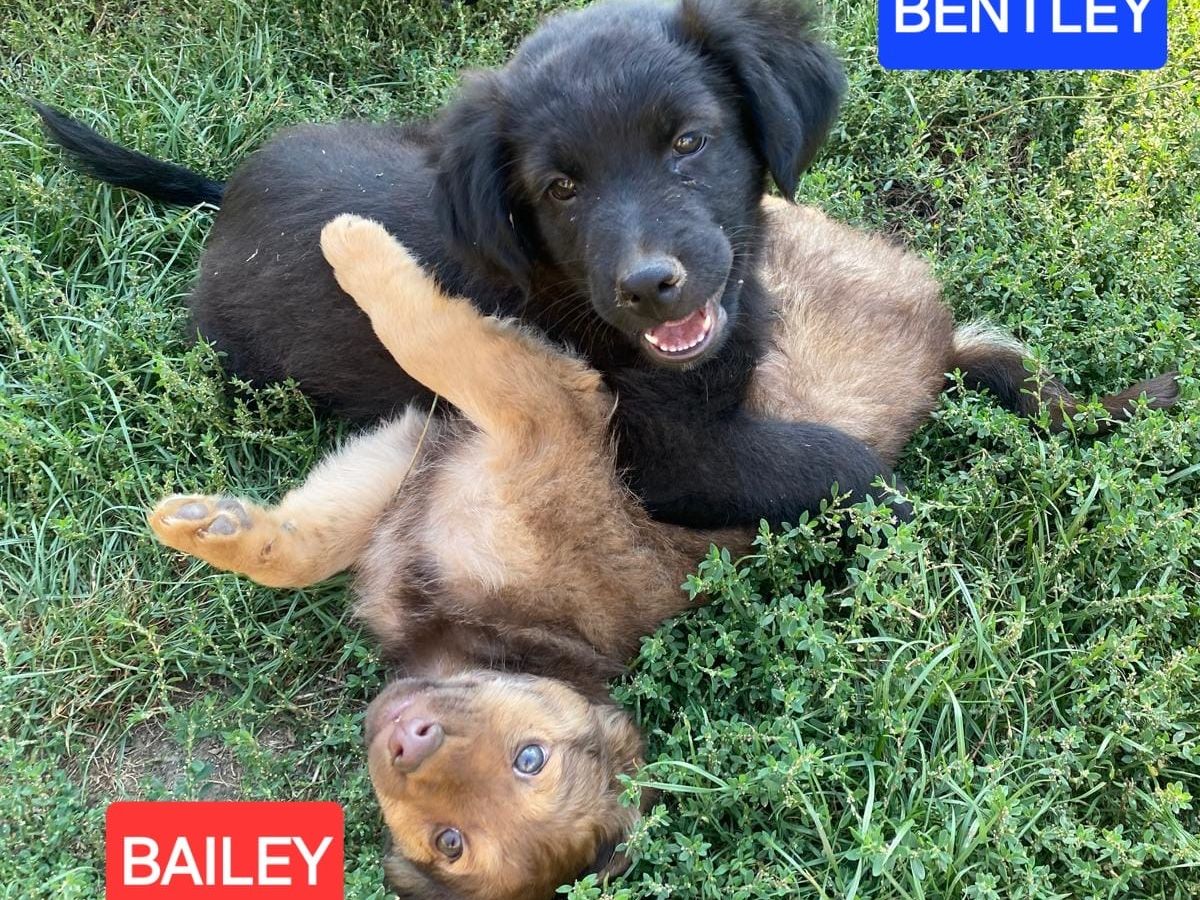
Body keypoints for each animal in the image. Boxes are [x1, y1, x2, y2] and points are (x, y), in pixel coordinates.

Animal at [36, 0, 931, 531]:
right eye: (560, 188)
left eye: (688, 141)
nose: (648, 286)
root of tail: (229, 201)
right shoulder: (671, 458)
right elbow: (835, 462)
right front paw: (913, 519)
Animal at [147, 201, 1177, 898]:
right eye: (446, 838)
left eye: (525, 767)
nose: (402, 736)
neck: (500, 631)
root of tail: (943, 345)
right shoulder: (419, 459)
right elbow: (307, 541)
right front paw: (212, 527)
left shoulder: (537, 406)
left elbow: (427, 326)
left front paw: (353, 245)